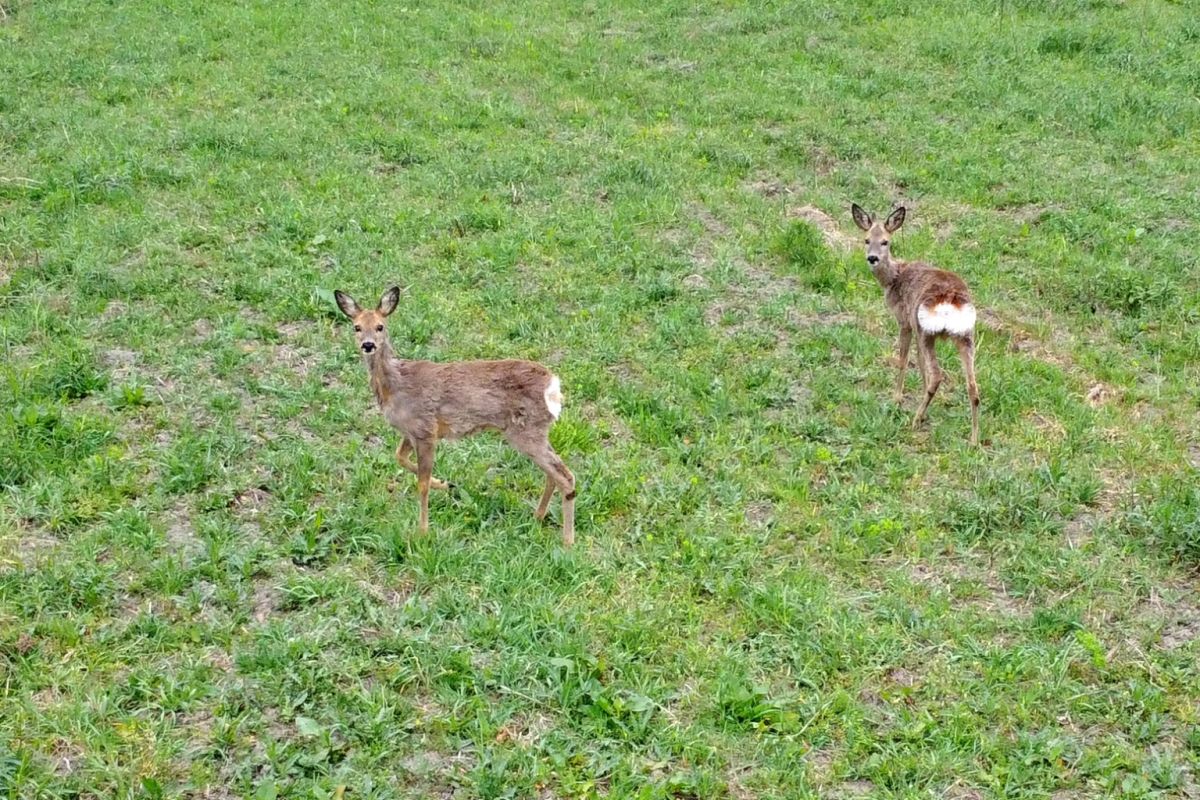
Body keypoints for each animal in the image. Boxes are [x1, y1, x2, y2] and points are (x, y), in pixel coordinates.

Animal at [334, 286, 577, 546]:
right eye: (356, 327)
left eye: (380, 326)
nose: (368, 345)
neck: (396, 384)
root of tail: (553, 386)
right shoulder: (410, 432)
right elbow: (399, 457)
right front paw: (445, 484)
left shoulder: (425, 429)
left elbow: (421, 484)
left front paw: (422, 532)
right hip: (533, 430)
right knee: (553, 471)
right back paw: (537, 517)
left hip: (526, 430)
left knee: (565, 475)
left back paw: (567, 541)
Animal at [851, 204, 980, 445]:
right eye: (866, 239)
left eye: (885, 241)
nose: (872, 258)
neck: (894, 278)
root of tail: (951, 298)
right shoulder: (915, 326)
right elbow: (919, 362)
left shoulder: (905, 321)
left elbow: (903, 360)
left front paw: (897, 399)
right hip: (965, 335)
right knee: (972, 386)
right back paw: (974, 440)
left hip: (927, 330)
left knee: (937, 375)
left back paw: (915, 420)